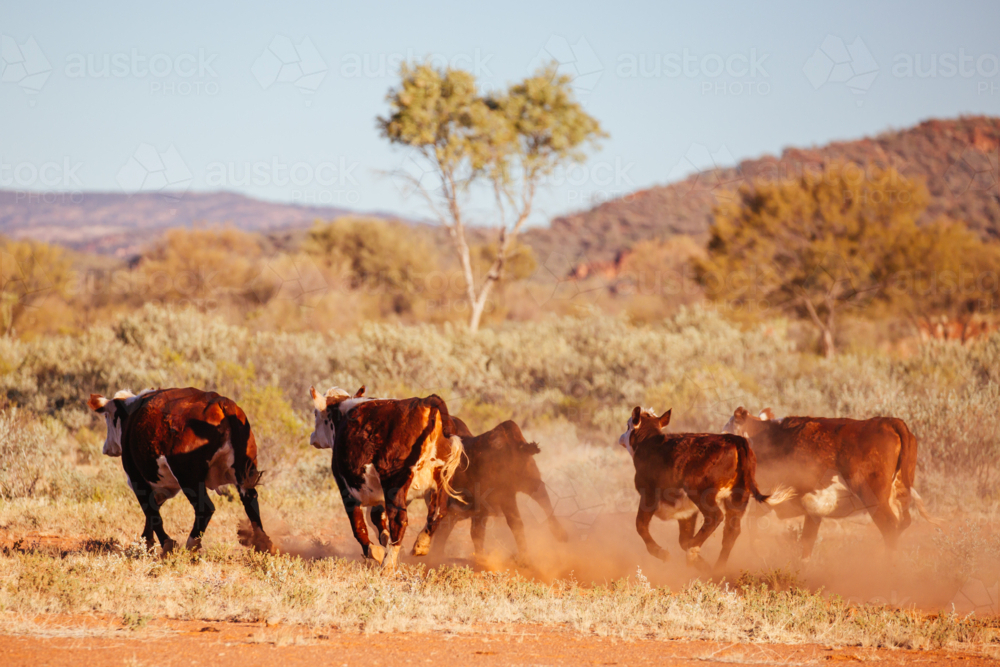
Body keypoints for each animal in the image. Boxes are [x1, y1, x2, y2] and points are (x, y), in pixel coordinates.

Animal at [87, 387, 274, 555]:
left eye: (107, 416)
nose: (106, 448)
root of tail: (222, 403)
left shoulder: (136, 477)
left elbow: (151, 512)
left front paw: (164, 544)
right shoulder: (165, 486)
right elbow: (152, 511)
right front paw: (145, 543)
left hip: (189, 477)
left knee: (204, 508)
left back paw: (191, 547)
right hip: (244, 473)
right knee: (250, 501)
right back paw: (264, 544)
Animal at [309, 385, 465, 571]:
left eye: (315, 413)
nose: (312, 436)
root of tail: (424, 402)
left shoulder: (346, 487)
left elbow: (358, 525)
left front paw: (374, 551)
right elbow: (376, 518)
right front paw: (384, 540)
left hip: (394, 481)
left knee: (399, 519)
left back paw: (387, 565)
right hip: (439, 482)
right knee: (438, 512)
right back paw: (420, 545)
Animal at [619, 406, 788, 571]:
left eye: (628, 426)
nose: (621, 437)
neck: (650, 444)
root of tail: (735, 439)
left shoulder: (648, 495)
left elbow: (641, 525)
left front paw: (662, 553)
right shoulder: (686, 511)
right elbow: (683, 539)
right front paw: (702, 565)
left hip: (701, 492)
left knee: (715, 517)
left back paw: (692, 552)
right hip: (738, 496)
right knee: (731, 530)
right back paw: (717, 570)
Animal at [722, 407, 937, 558]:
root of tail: (889, 422)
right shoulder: (811, 507)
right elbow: (806, 544)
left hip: (875, 499)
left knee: (890, 527)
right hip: (900, 494)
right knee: (902, 524)